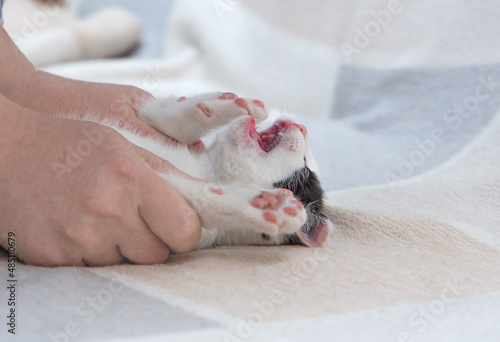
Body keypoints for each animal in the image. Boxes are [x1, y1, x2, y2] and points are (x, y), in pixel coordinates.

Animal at [104, 92, 332, 250]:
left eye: (305, 172)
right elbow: (155, 115)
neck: (207, 170)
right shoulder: (149, 120)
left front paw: (262, 206)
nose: (302, 127)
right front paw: (232, 106)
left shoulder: (201, 233)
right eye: (306, 165)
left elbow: (188, 197)